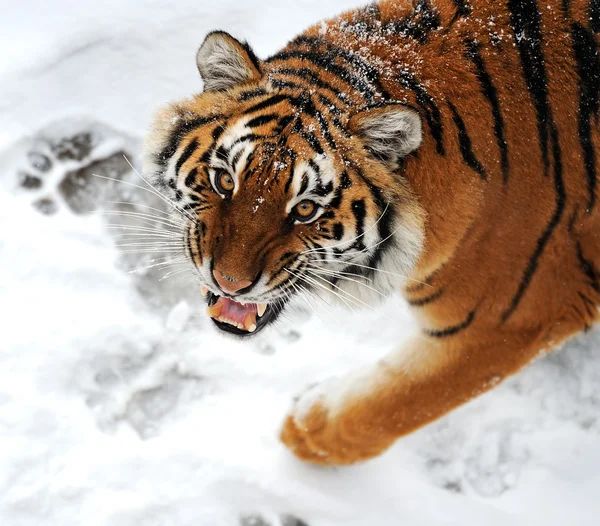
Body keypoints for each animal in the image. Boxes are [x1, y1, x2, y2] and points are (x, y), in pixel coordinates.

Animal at [143, 0, 600, 466]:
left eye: (305, 209)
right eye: (224, 181)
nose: (229, 282)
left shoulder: (509, 318)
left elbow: (397, 402)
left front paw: (304, 433)